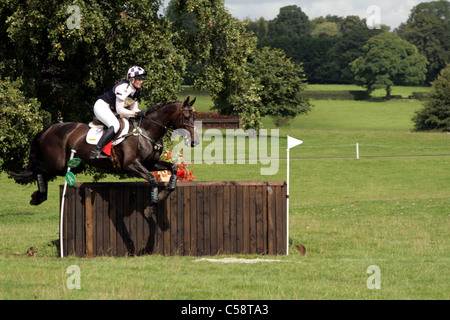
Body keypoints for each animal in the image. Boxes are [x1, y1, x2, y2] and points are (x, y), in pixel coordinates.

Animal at [7, 96, 199, 206]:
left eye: (195, 116)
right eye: (186, 116)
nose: (194, 141)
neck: (146, 131)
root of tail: (50, 128)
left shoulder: (150, 163)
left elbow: (172, 168)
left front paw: (167, 190)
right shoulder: (131, 165)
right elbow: (152, 179)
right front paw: (154, 200)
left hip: (72, 165)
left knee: (42, 172)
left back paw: (39, 196)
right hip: (58, 163)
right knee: (39, 170)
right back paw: (38, 196)